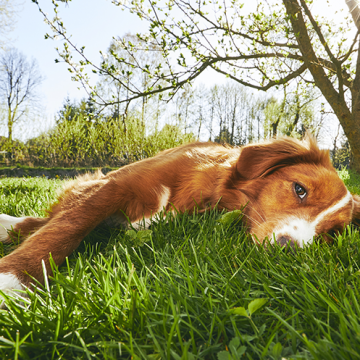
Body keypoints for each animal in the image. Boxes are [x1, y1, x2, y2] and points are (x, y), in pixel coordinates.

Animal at [0, 134, 358, 300]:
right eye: (300, 190)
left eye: (331, 234)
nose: (288, 249)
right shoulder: (113, 185)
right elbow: (67, 227)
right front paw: (14, 277)